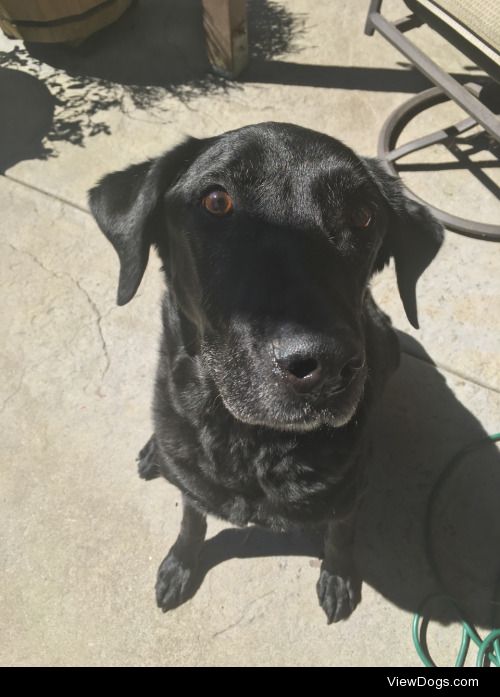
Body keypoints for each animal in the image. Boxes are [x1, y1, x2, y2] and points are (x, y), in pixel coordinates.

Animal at [89, 122, 442, 624]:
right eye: (217, 201)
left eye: (363, 216)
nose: (324, 364)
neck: (251, 443)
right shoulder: (194, 489)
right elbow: (191, 520)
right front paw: (180, 563)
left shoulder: (350, 494)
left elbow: (340, 535)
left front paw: (338, 577)